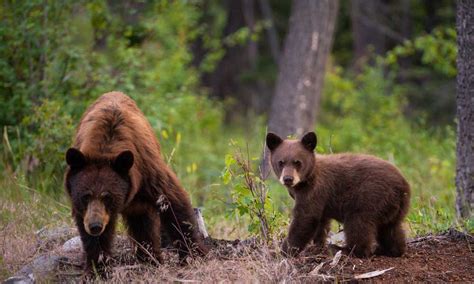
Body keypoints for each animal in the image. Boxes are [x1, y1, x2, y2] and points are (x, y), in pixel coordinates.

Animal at [65, 92, 207, 272]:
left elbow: (174, 204)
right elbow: (93, 238)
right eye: (85, 196)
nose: (95, 226)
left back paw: (151, 258)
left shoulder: (148, 171)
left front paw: (193, 255)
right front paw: (97, 267)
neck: (105, 149)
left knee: (144, 225)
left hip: (140, 201)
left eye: (107, 196)